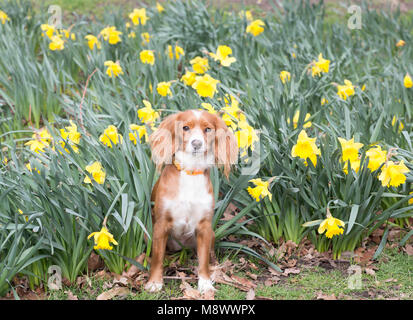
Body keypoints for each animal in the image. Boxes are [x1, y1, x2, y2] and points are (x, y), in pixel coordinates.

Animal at [144, 109, 237, 292]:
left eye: (207, 129)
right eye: (185, 127)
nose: (196, 143)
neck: (191, 172)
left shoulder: (204, 227)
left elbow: (203, 260)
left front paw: (205, 282)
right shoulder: (161, 224)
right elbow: (157, 257)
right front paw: (155, 282)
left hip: (211, 234)